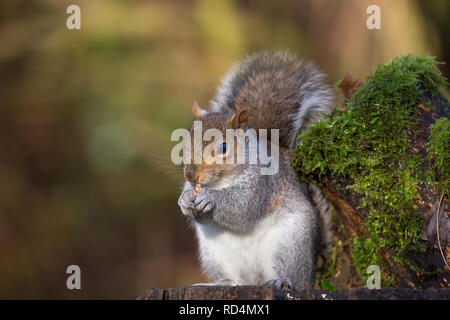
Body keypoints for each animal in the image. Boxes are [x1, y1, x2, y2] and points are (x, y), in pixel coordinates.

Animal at [178, 51, 336, 288]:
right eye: (186, 142)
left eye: (223, 147)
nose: (191, 174)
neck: (221, 182)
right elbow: (201, 215)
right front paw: (185, 201)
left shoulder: (262, 183)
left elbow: (243, 207)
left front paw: (209, 198)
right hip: (214, 254)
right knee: (235, 281)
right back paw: (218, 283)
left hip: (289, 243)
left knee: (292, 276)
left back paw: (280, 281)